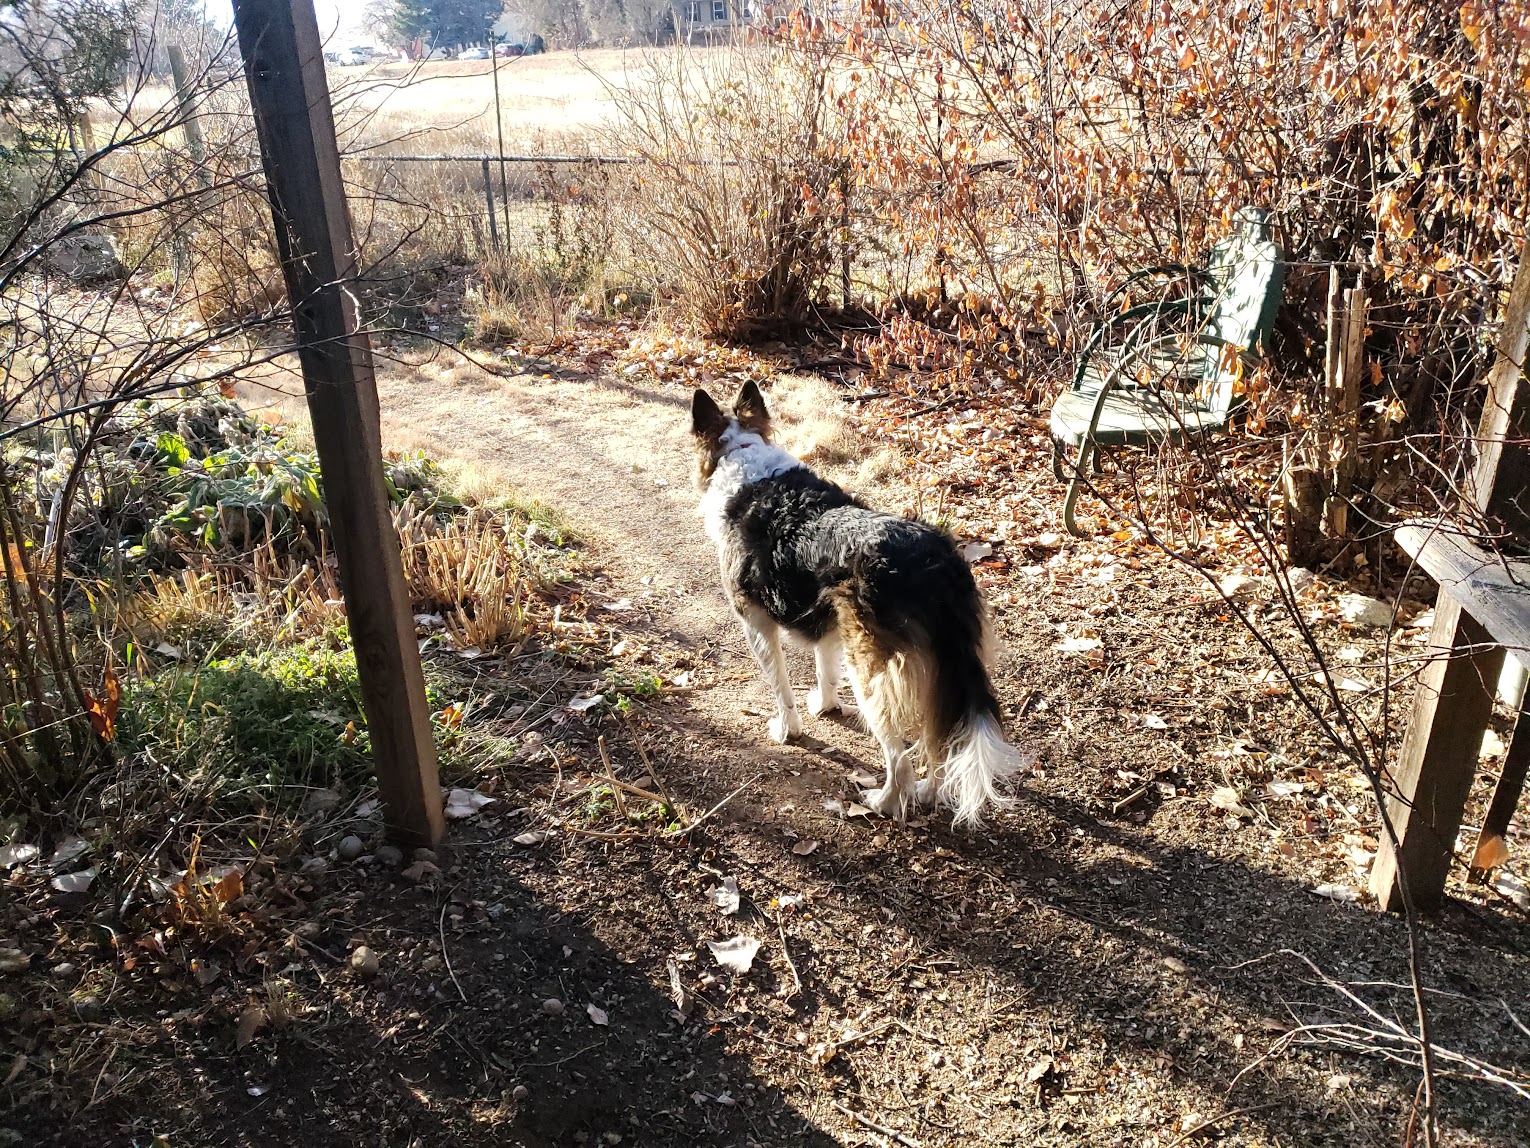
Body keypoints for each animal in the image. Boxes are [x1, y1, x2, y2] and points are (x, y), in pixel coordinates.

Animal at [690, 380, 1029, 827]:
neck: (742, 458)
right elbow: (824, 670)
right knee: (939, 740)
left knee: (900, 761)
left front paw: (789, 729)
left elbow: (781, 689)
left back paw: (884, 802)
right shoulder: (829, 626)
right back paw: (930, 792)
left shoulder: (756, 625)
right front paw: (827, 706)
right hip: (939, 670)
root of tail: (935, 564)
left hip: (872, 672)